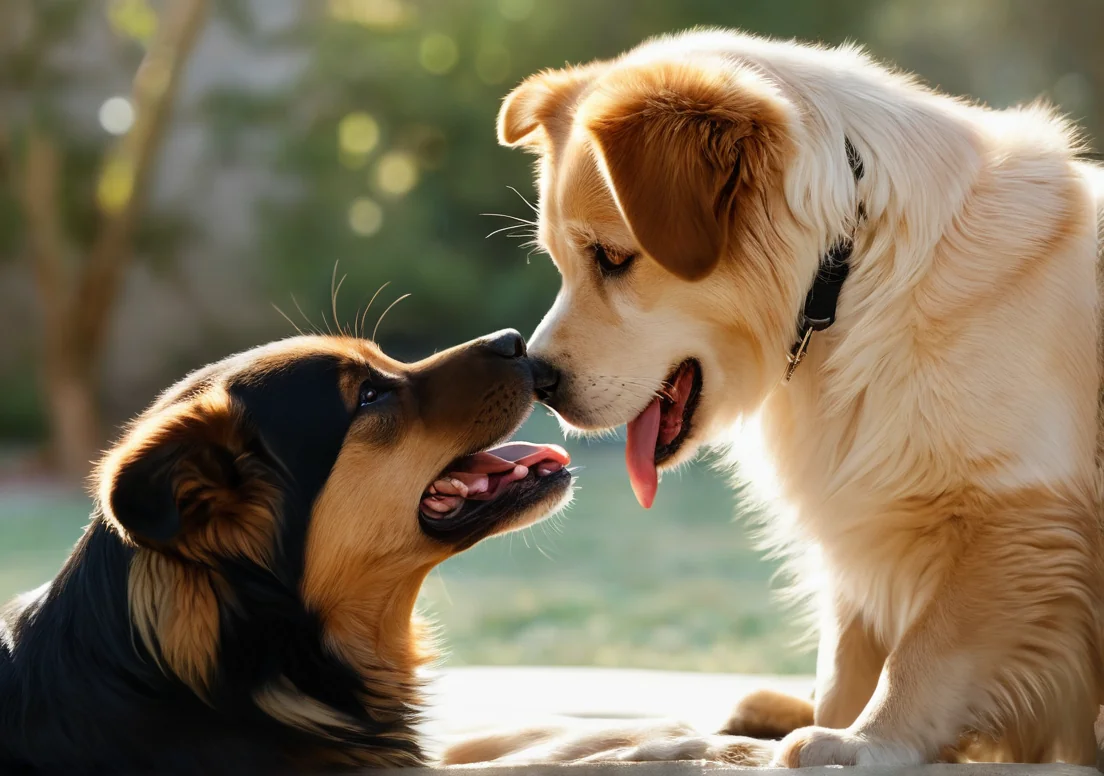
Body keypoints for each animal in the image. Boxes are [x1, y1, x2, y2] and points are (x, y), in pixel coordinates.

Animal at [490, 28, 1104, 763]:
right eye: (561, 260)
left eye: (613, 258)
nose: (539, 381)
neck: (852, 270)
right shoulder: (866, 516)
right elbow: (846, 660)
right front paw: (833, 726)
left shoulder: (1021, 513)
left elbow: (926, 650)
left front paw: (867, 741)